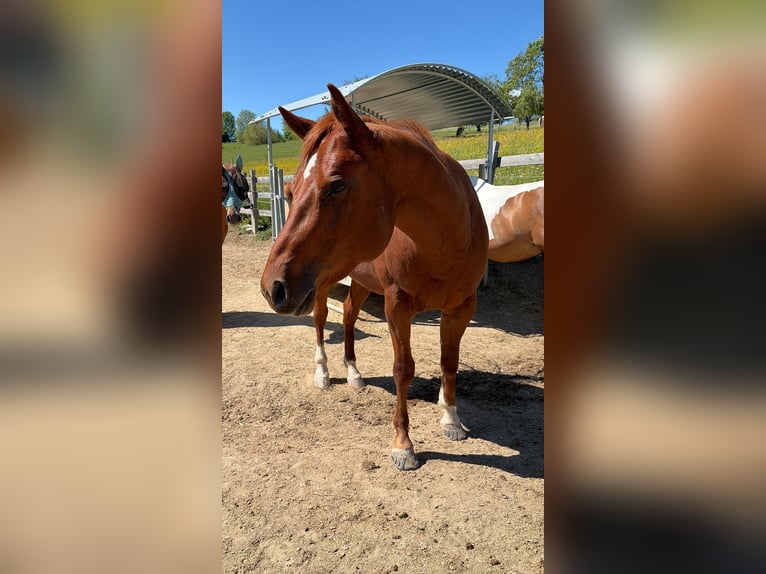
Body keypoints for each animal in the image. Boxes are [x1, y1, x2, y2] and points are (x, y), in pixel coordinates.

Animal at [260, 84, 489, 471]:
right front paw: (403, 445)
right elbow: (402, 369)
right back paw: (323, 373)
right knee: (322, 320)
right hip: (322, 284)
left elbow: (449, 361)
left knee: (349, 316)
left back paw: (354, 373)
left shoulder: (462, 307)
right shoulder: (397, 306)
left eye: (336, 186)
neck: (447, 238)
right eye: (289, 193)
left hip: (359, 280)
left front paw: (451, 419)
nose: (271, 287)